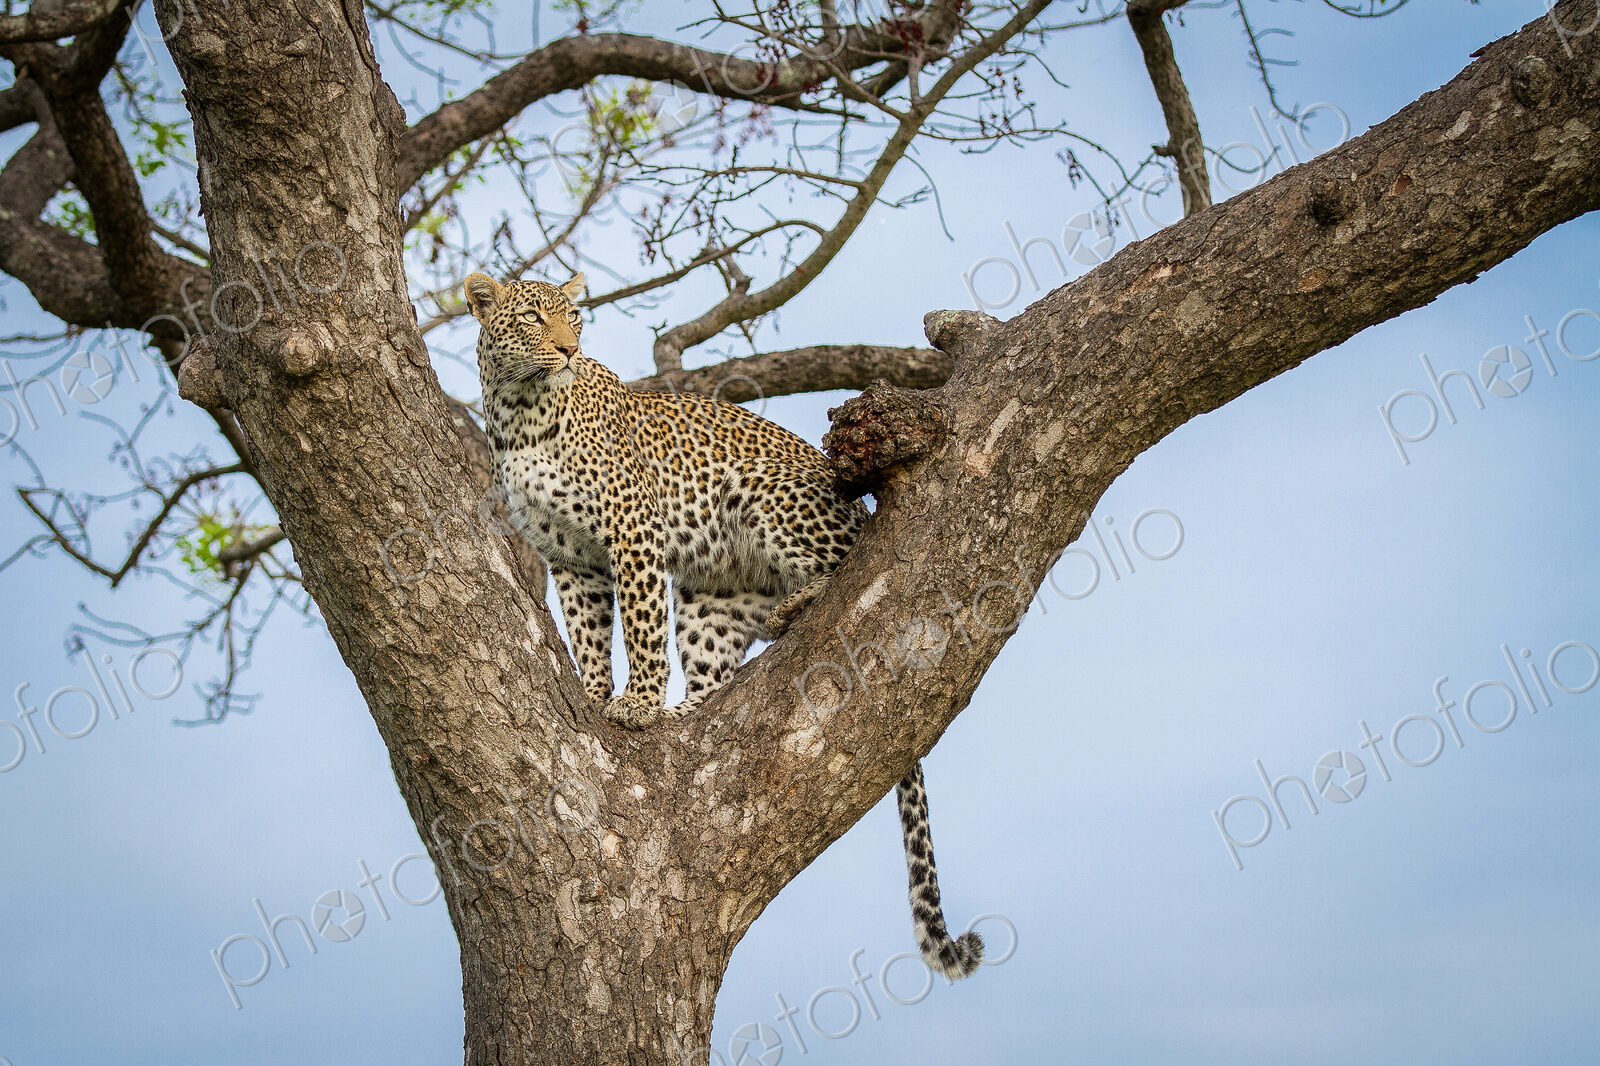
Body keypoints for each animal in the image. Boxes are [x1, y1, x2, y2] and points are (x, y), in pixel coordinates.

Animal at [467, 270, 984, 979]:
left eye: (574, 316)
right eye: (530, 320)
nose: (569, 350)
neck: (520, 411)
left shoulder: (633, 528)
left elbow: (641, 625)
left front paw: (638, 703)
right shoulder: (571, 559)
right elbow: (590, 634)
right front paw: (597, 695)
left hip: (769, 489)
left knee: (847, 565)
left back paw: (794, 610)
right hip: (713, 598)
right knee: (718, 675)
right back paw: (690, 709)